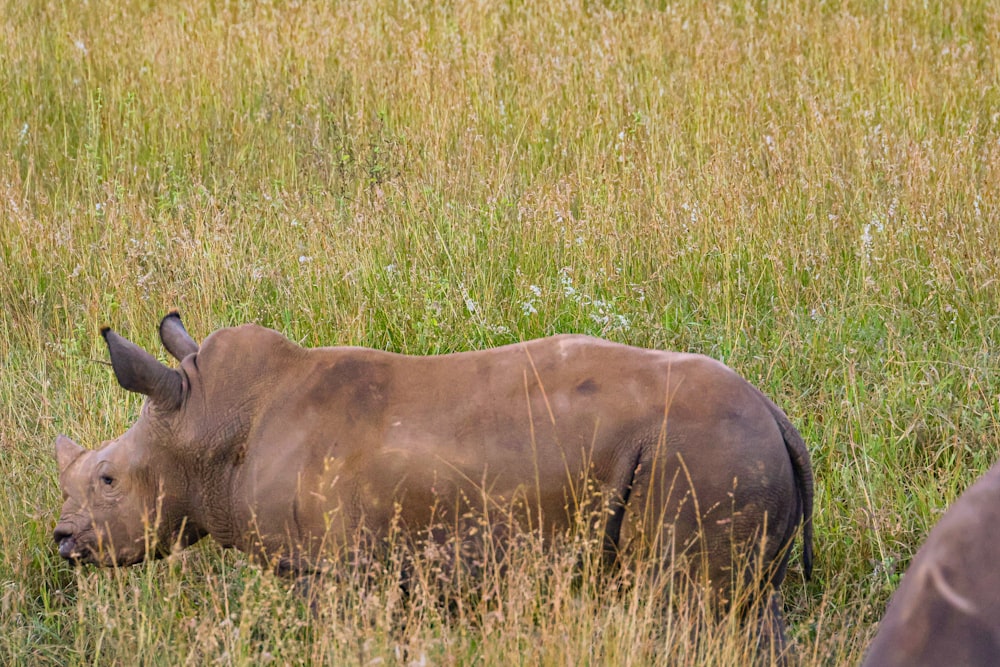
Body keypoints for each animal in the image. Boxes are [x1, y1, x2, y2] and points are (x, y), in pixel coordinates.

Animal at [54, 316, 812, 644]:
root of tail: (776, 414)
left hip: (703, 454)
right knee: (746, 609)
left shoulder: (327, 571)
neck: (204, 421)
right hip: (726, 453)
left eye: (108, 479)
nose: (62, 540)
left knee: (691, 609)